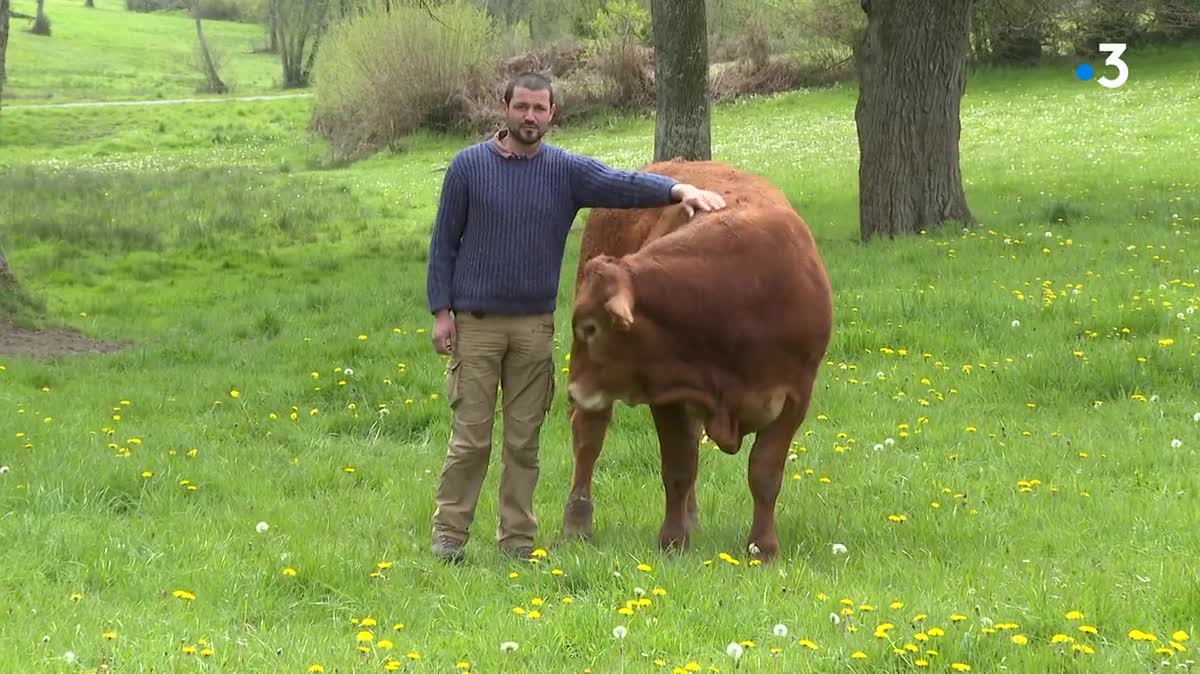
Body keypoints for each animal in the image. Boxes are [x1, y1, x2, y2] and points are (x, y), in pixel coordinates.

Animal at [556, 158, 830, 561]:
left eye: (590, 328)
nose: (573, 389)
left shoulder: (796, 396)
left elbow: (765, 472)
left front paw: (763, 548)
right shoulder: (667, 396)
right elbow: (678, 468)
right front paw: (672, 542)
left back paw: (693, 518)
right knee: (589, 437)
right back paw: (577, 524)